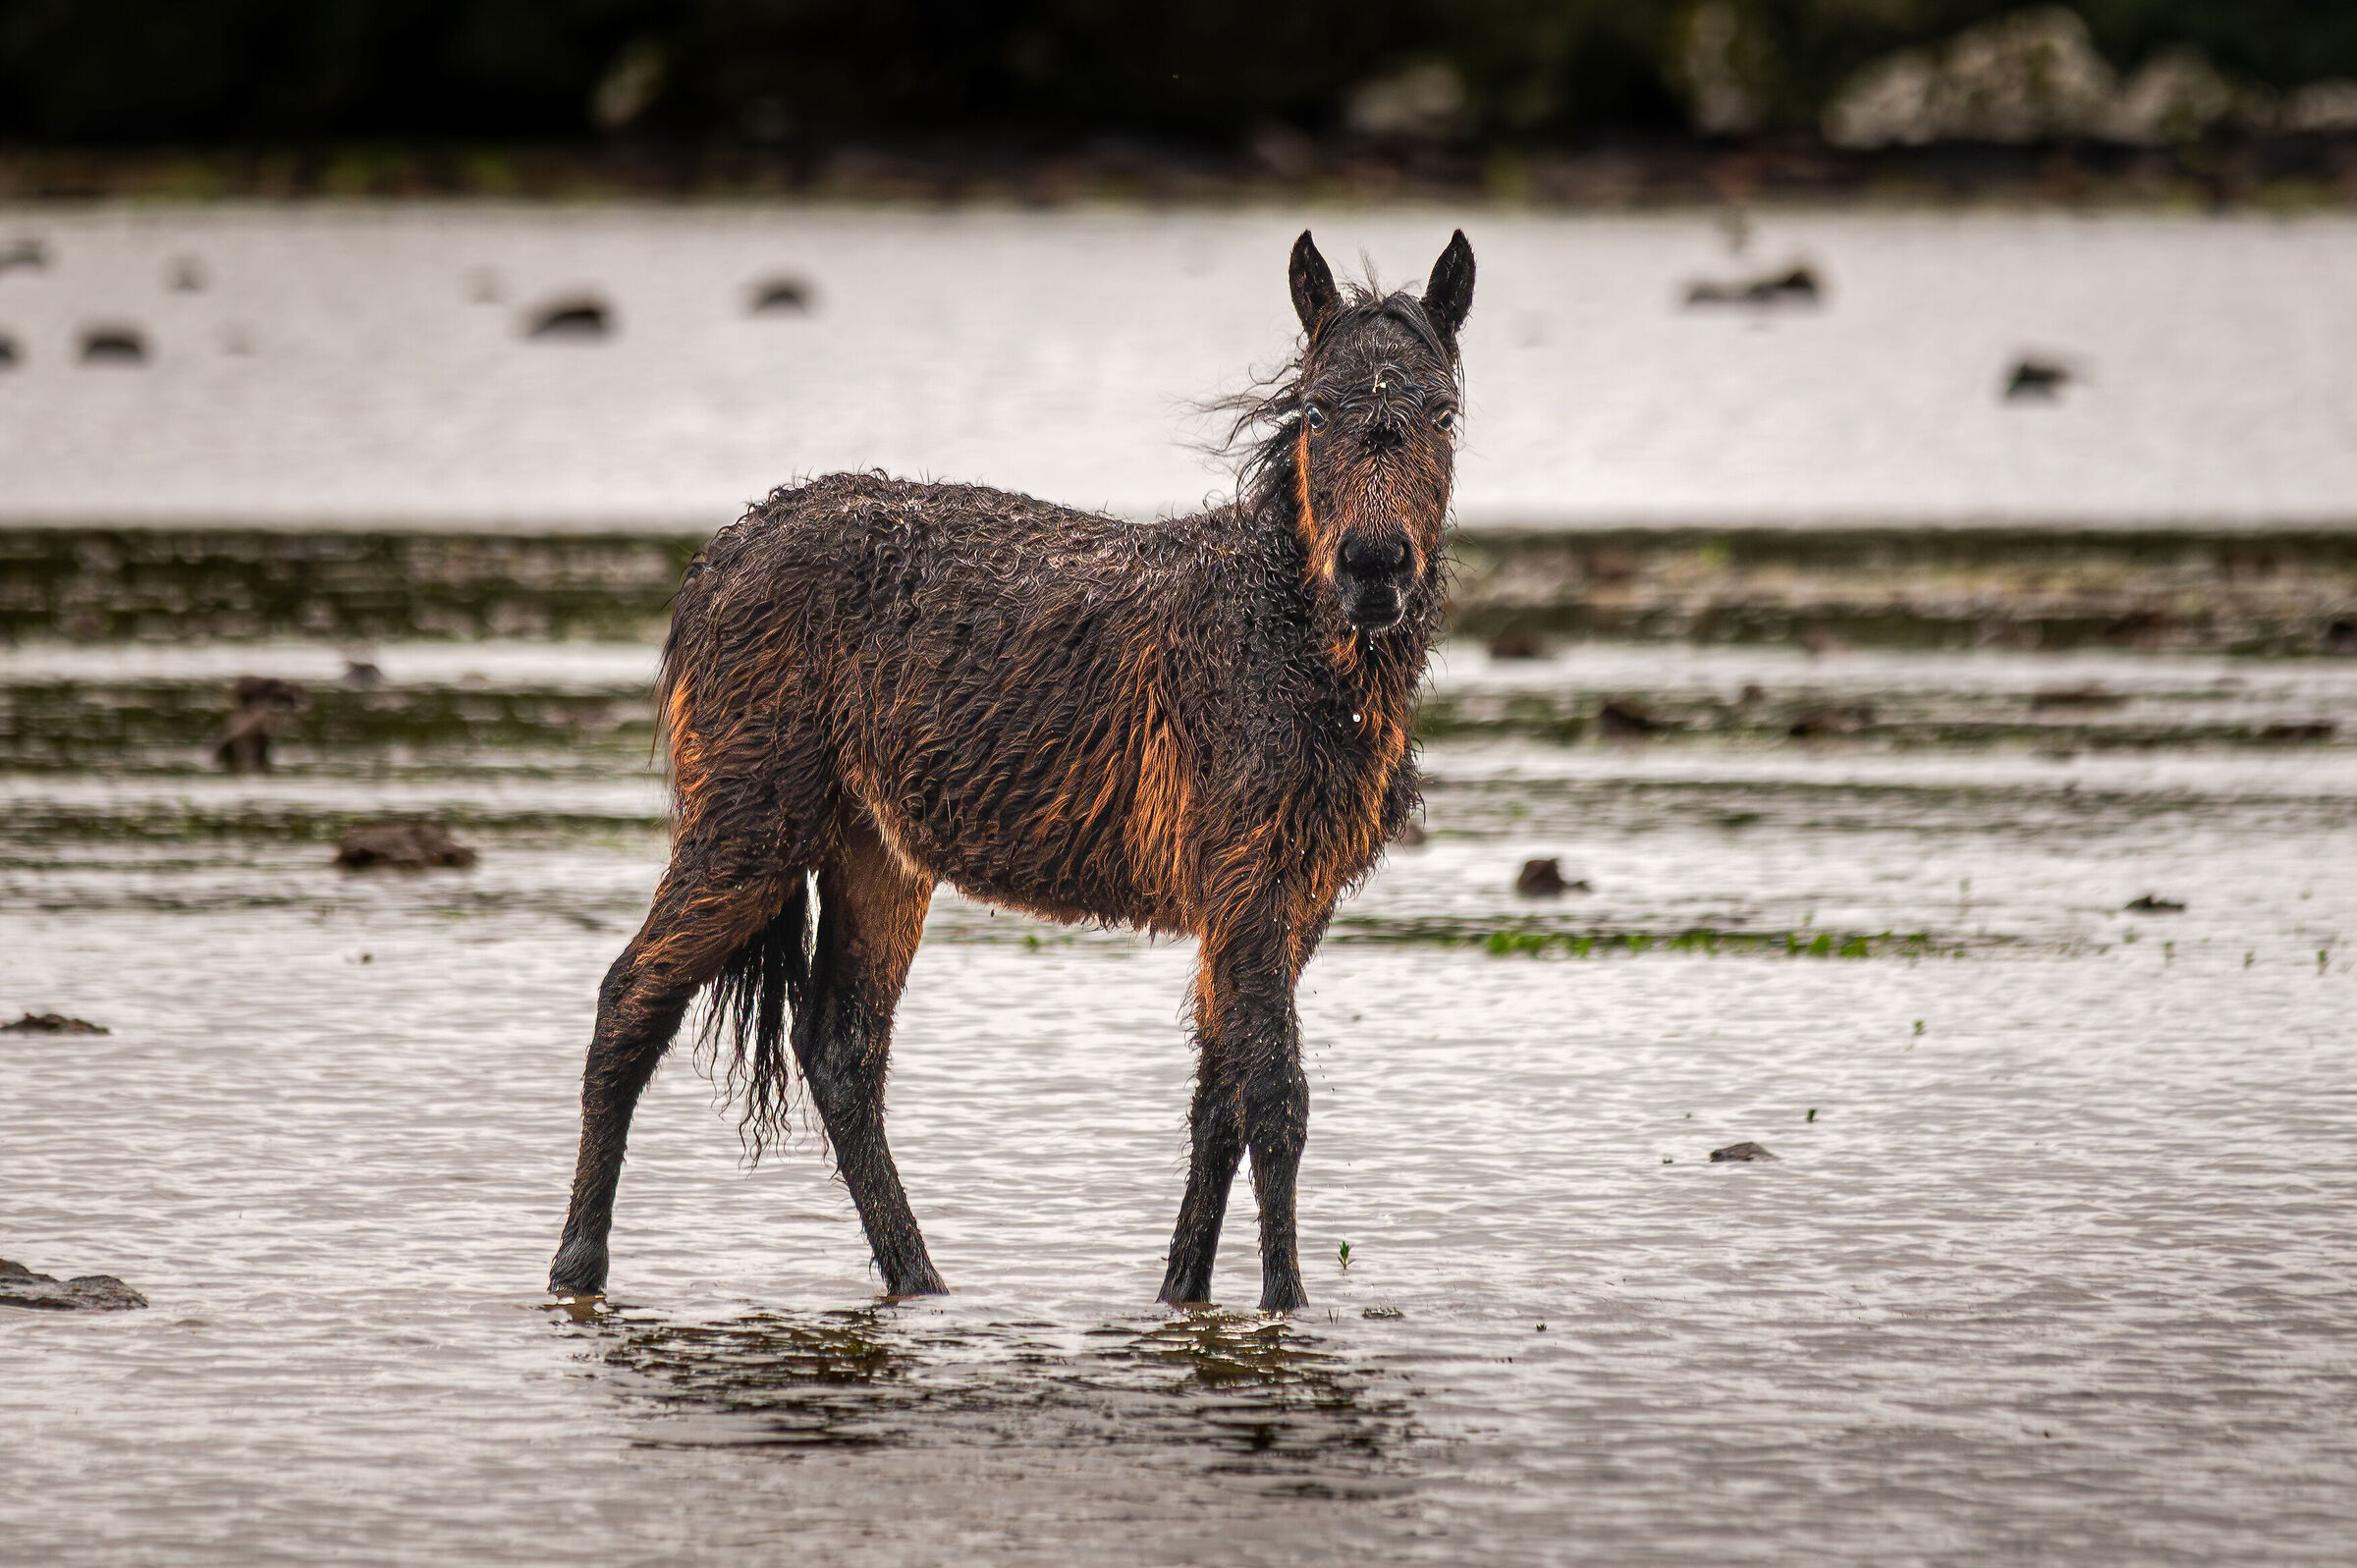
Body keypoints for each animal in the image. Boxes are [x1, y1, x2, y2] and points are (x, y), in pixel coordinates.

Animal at [551, 228, 1475, 1312]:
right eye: (1320, 407)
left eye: (1442, 410)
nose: (1374, 569)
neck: (1281, 641)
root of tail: (719, 558)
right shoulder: (1251, 883)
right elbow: (1276, 1099)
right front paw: (1284, 1306)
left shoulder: (1291, 898)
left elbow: (1221, 1105)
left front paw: (1183, 1294)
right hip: (748, 827)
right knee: (633, 1000)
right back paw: (578, 1269)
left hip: (872, 854)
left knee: (841, 1051)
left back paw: (920, 1281)